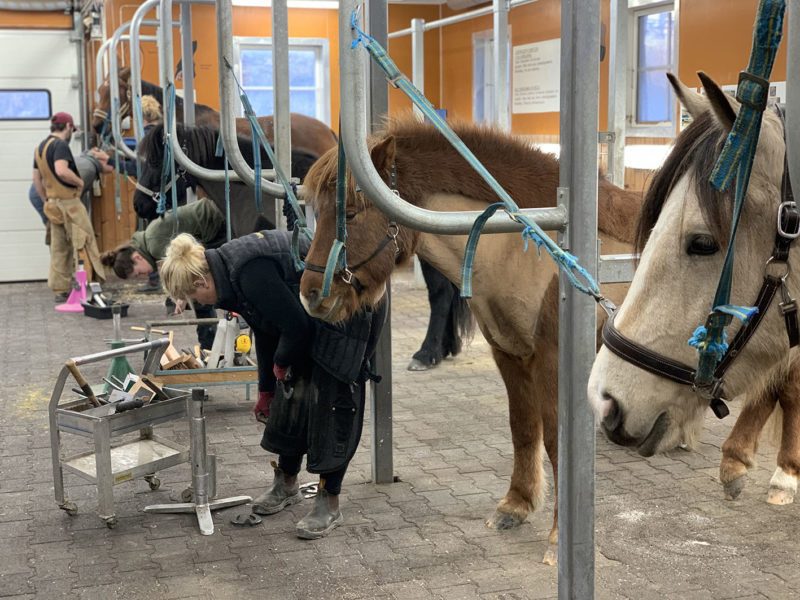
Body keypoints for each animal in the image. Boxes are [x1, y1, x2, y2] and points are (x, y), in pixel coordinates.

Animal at [297, 115, 641, 562]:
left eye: (350, 214)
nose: (311, 295)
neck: (535, 248)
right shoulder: (510, 354)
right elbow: (522, 428)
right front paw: (515, 506)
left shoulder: (553, 362)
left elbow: (556, 443)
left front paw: (557, 539)